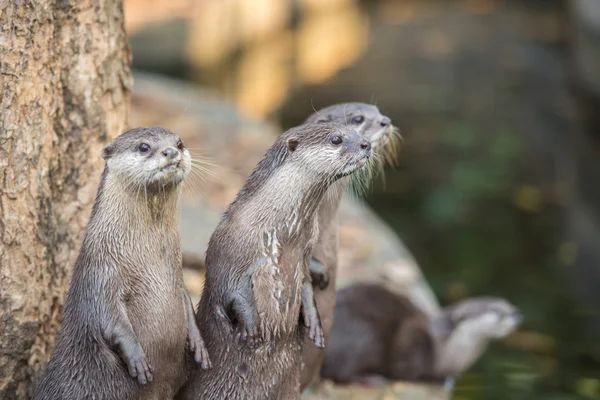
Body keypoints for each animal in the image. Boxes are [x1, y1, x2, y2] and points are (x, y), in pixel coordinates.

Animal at [35, 127, 212, 400]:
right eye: (143, 147)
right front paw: (138, 359)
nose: (171, 152)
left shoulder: (177, 276)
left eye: (180, 143)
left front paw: (199, 344)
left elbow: (185, 300)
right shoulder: (99, 273)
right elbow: (108, 317)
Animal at [176, 123, 370, 398]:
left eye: (354, 130)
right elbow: (229, 285)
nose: (366, 144)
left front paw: (314, 322)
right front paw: (251, 328)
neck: (280, 232)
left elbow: (307, 284)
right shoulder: (230, 247)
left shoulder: (306, 253)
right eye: (336, 139)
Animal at [322, 282, 524, 388]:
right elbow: (406, 368)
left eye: (508, 303)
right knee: (339, 373)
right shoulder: (413, 338)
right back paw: (371, 379)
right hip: (362, 335)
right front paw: (430, 378)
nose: (516, 312)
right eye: (495, 309)